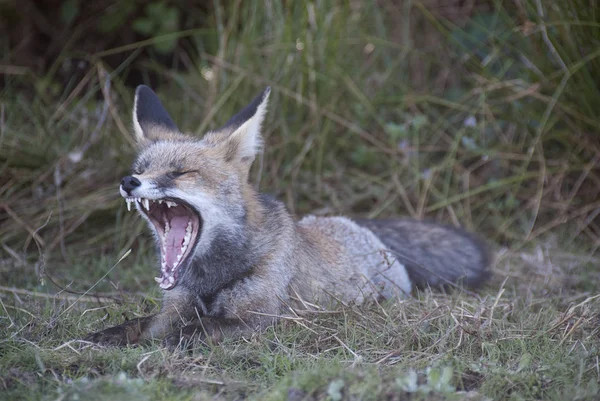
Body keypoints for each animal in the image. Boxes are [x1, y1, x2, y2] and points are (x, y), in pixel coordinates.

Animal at [85, 86, 492, 346]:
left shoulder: (258, 318)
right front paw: (100, 339)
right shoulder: (175, 307)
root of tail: (357, 225)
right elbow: (139, 326)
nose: (128, 182)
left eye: (181, 172)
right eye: (141, 169)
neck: (209, 279)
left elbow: (189, 332)